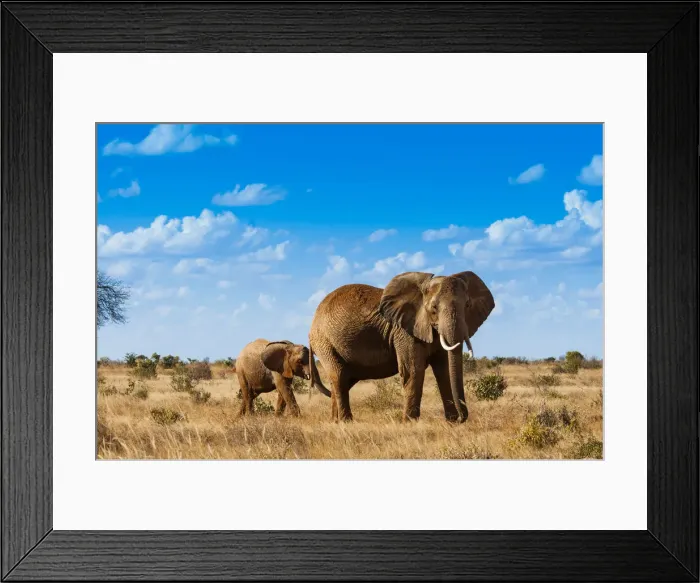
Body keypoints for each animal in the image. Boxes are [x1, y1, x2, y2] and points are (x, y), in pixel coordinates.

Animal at [308, 271, 494, 423]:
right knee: (339, 377)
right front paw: (410, 423)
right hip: (324, 342)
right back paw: (347, 423)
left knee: (343, 380)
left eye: (468, 305)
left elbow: (443, 370)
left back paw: (335, 422)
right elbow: (413, 370)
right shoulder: (405, 331)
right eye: (434, 308)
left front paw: (451, 422)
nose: (462, 418)